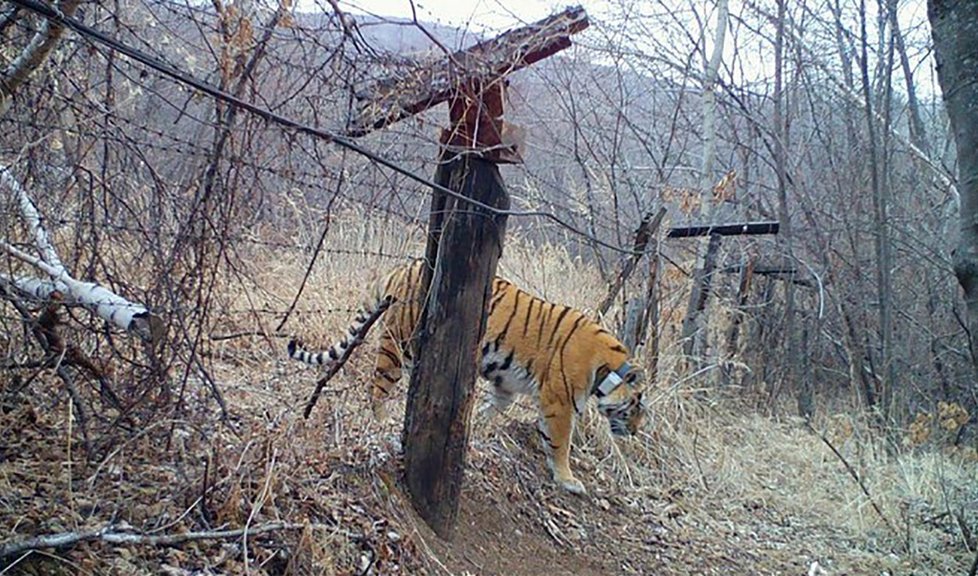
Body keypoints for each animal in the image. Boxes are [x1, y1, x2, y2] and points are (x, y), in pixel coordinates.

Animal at [286, 258, 644, 492]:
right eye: (637, 406)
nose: (636, 432)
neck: (606, 370)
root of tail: (401, 269)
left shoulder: (506, 385)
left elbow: (493, 410)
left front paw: (479, 429)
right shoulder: (560, 403)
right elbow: (560, 443)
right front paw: (568, 479)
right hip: (399, 345)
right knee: (377, 387)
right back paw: (382, 422)